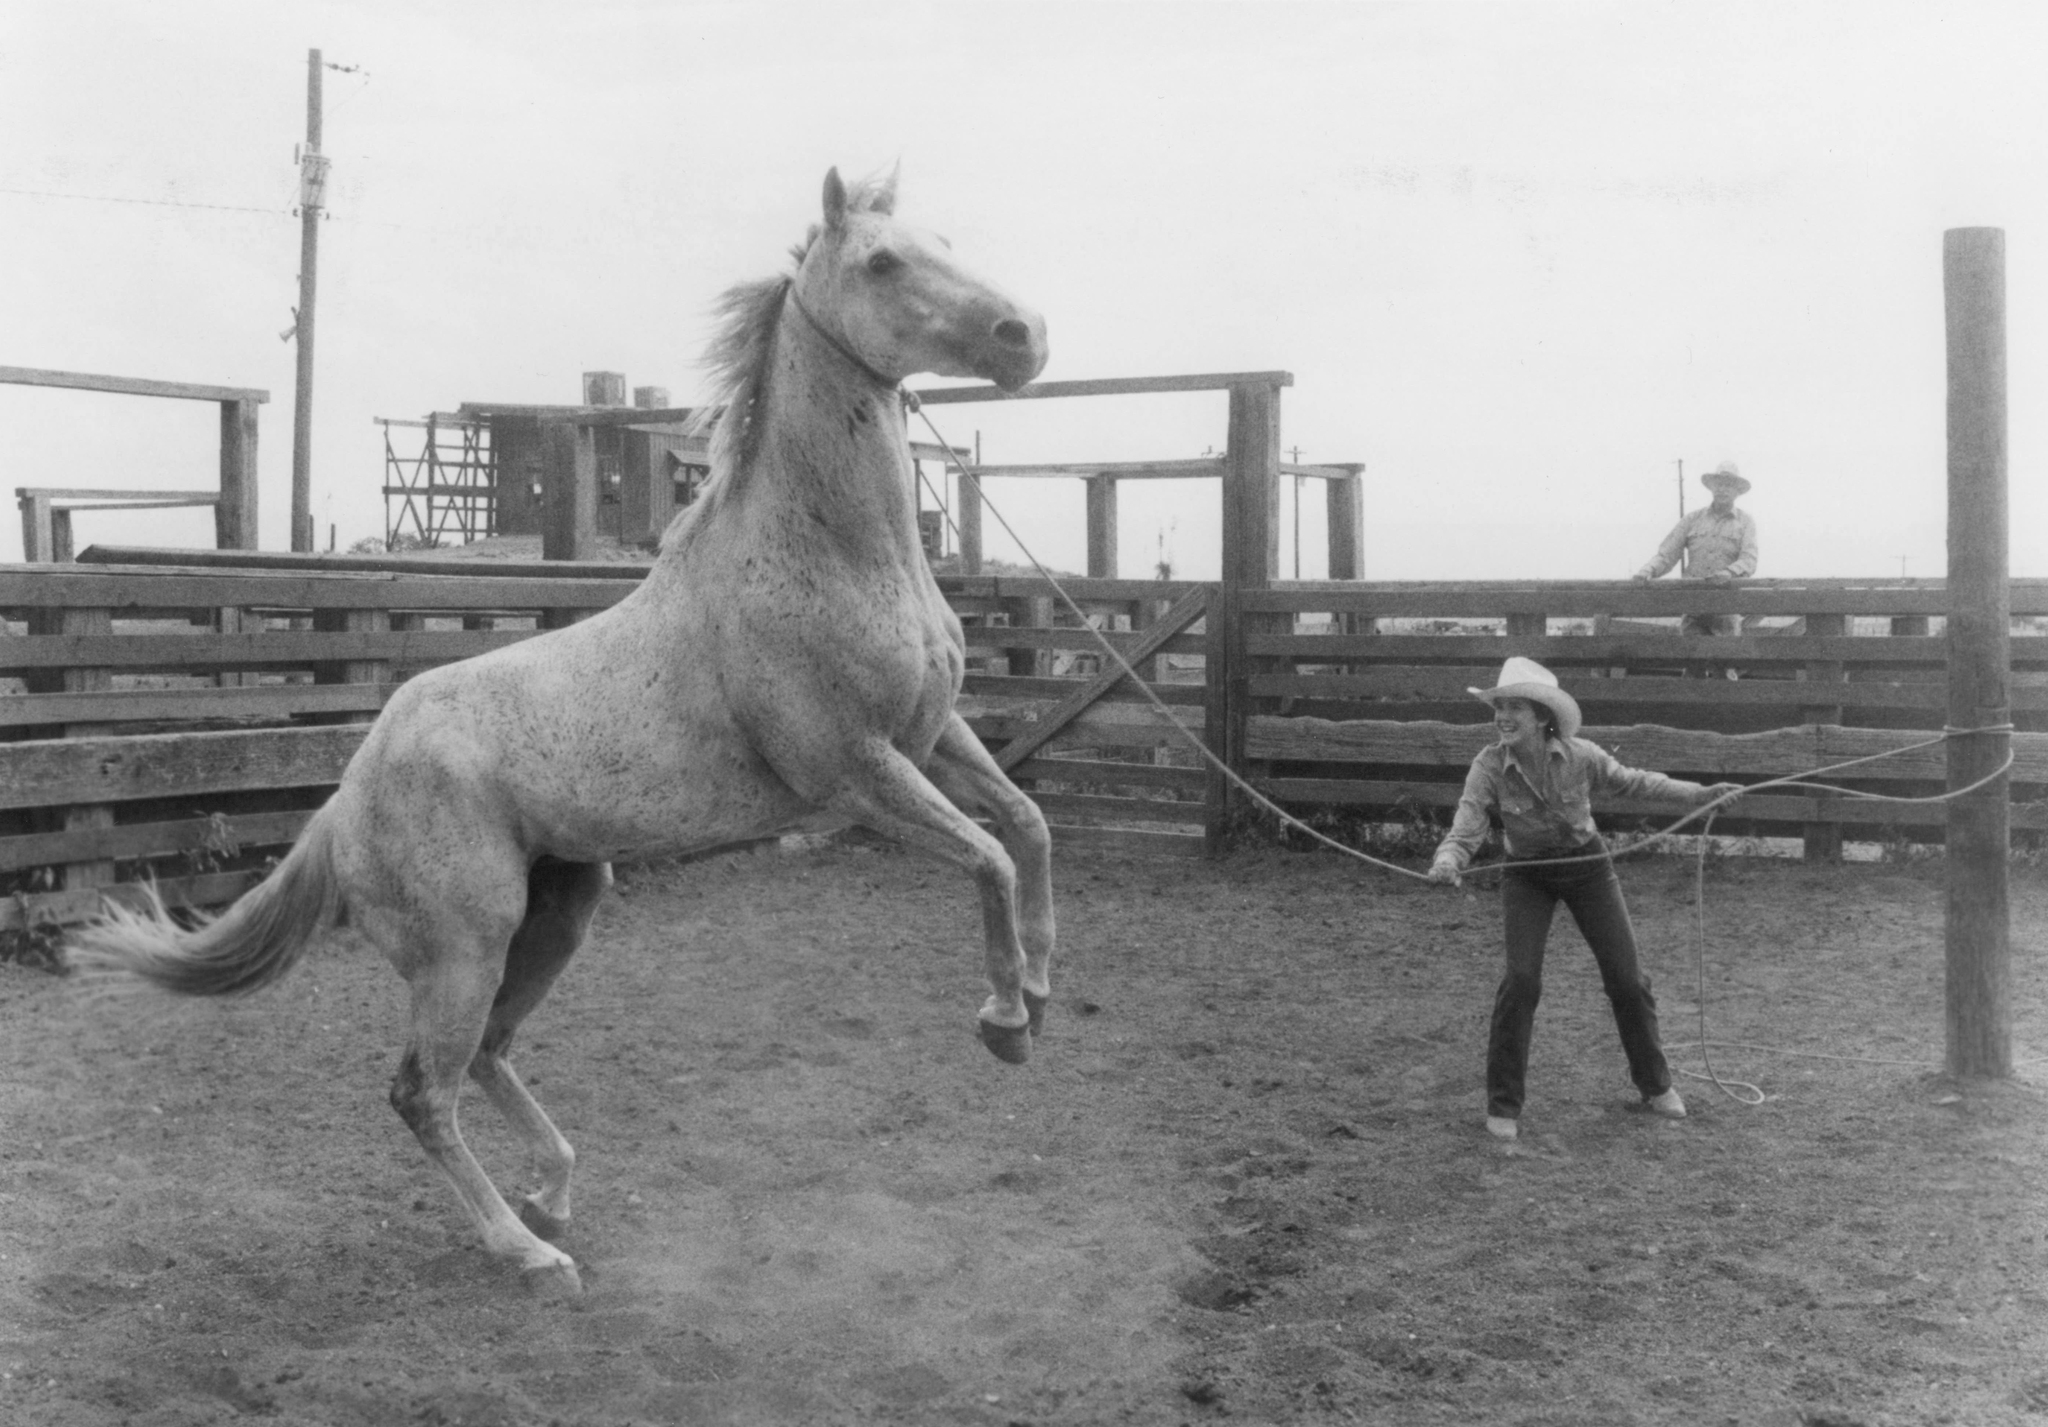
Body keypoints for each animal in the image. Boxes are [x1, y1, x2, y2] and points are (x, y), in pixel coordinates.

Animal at [68, 169, 1056, 1293]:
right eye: (882, 262)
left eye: (945, 241)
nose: (1024, 336)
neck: (833, 556)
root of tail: (344, 799)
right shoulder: (853, 771)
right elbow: (985, 856)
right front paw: (1005, 1024)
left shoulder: (934, 736)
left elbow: (1025, 827)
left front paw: (1041, 983)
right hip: (467, 942)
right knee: (423, 1089)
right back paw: (529, 1248)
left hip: (561, 911)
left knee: (491, 1053)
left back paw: (553, 1188)